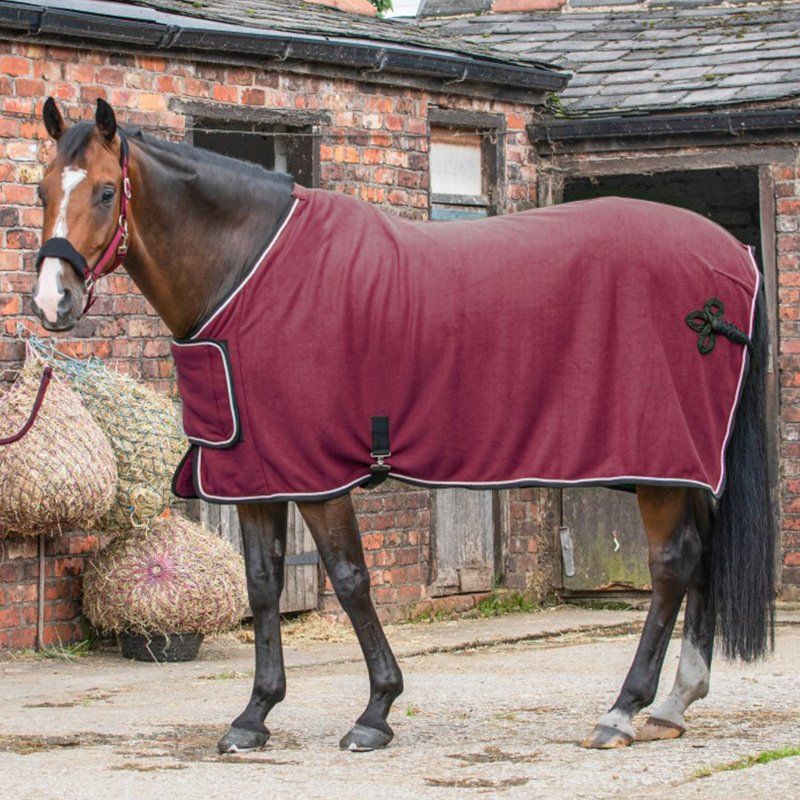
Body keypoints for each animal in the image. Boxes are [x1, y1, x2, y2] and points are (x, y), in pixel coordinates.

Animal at [30, 97, 775, 754]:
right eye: (40, 190)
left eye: (105, 191)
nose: (52, 301)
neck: (245, 271)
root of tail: (733, 259)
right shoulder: (256, 474)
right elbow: (263, 587)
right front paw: (254, 716)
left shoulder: (318, 475)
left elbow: (350, 579)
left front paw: (376, 712)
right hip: (684, 468)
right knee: (701, 557)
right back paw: (674, 704)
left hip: (662, 466)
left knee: (671, 565)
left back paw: (622, 710)